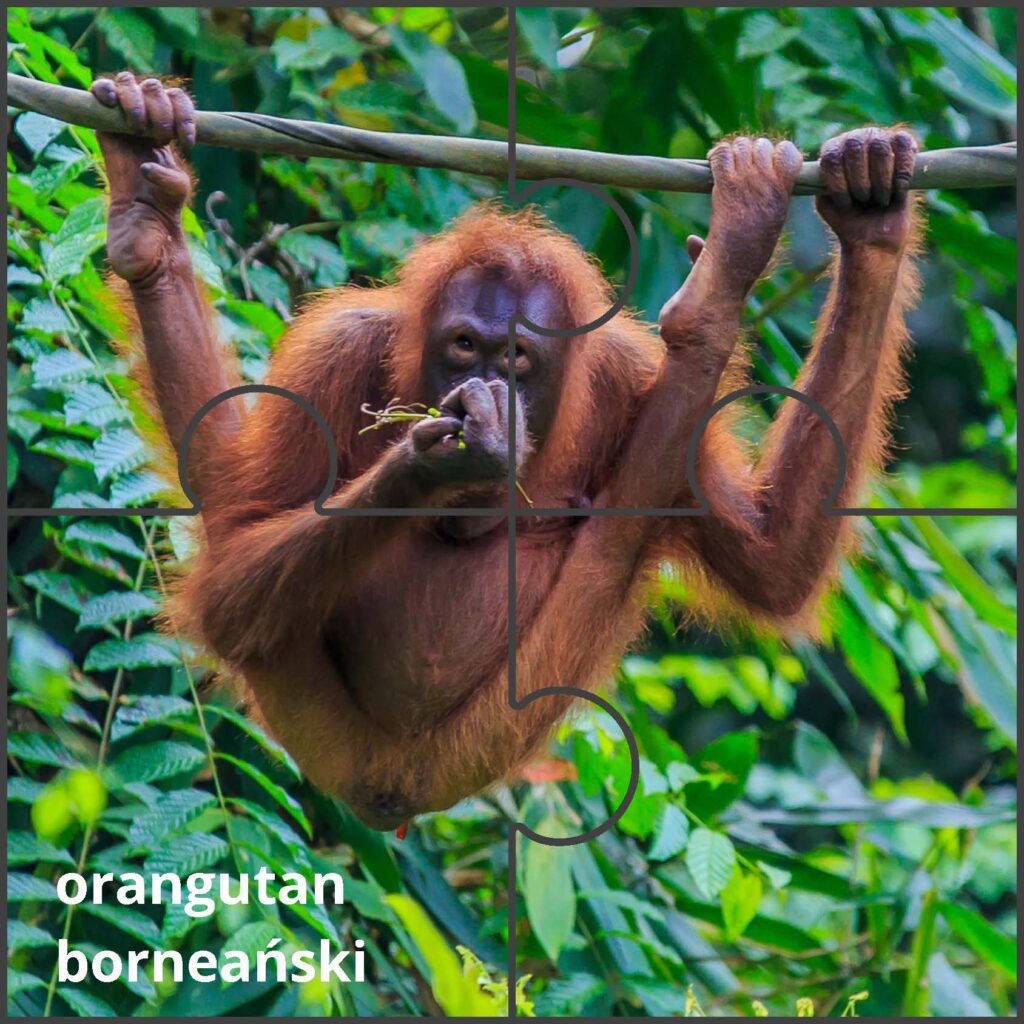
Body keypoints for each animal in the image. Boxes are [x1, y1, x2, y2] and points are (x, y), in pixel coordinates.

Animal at [91, 73, 920, 829]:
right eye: (464, 344)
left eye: (518, 355)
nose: (485, 384)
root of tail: (389, 787)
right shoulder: (336, 354)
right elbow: (235, 565)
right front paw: (430, 463)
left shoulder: (626, 373)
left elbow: (773, 558)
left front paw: (871, 216)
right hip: (334, 720)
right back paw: (146, 220)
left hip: (491, 729)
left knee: (622, 526)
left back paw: (711, 301)